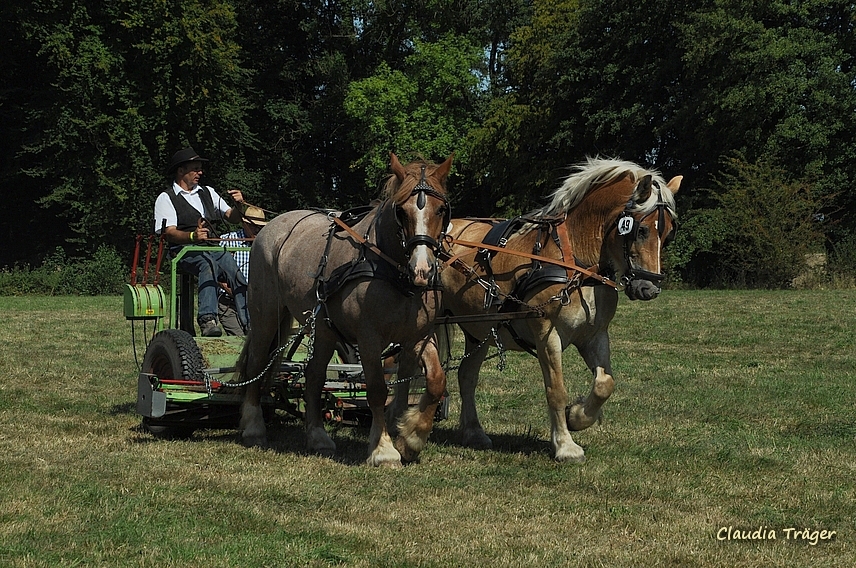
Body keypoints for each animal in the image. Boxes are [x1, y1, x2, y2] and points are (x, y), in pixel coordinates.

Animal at [408, 158, 684, 464]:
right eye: (641, 230)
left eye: (668, 233)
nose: (649, 288)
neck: (574, 261)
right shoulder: (547, 335)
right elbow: (556, 390)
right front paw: (565, 445)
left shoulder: (595, 335)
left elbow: (605, 383)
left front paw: (577, 416)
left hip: (479, 330)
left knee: (467, 376)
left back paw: (474, 432)